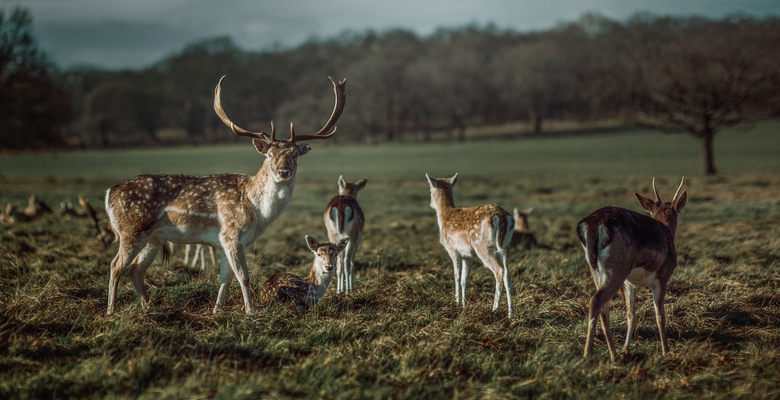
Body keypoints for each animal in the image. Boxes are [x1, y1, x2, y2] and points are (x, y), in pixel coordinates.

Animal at [103, 75, 344, 316]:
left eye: (295, 154)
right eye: (269, 154)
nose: (283, 171)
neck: (256, 209)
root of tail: (109, 193)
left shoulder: (225, 241)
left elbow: (225, 278)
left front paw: (216, 311)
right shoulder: (231, 234)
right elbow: (243, 276)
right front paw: (250, 311)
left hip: (153, 238)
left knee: (135, 269)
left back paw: (148, 308)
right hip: (131, 230)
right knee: (115, 265)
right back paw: (111, 311)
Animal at [424, 173, 516, 318]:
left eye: (430, 190)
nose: (430, 204)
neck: (444, 216)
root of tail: (501, 217)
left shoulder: (452, 249)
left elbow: (456, 276)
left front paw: (456, 303)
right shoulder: (467, 255)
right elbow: (464, 279)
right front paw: (463, 304)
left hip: (482, 246)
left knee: (499, 271)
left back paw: (494, 309)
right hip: (505, 246)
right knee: (507, 273)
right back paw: (511, 314)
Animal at [576, 176, 684, 362]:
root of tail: (592, 225)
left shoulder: (629, 283)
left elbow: (631, 315)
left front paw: (626, 350)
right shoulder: (662, 277)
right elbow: (660, 315)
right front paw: (666, 351)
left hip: (596, 271)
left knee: (603, 308)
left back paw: (614, 355)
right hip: (617, 269)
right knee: (596, 300)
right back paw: (588, 354)